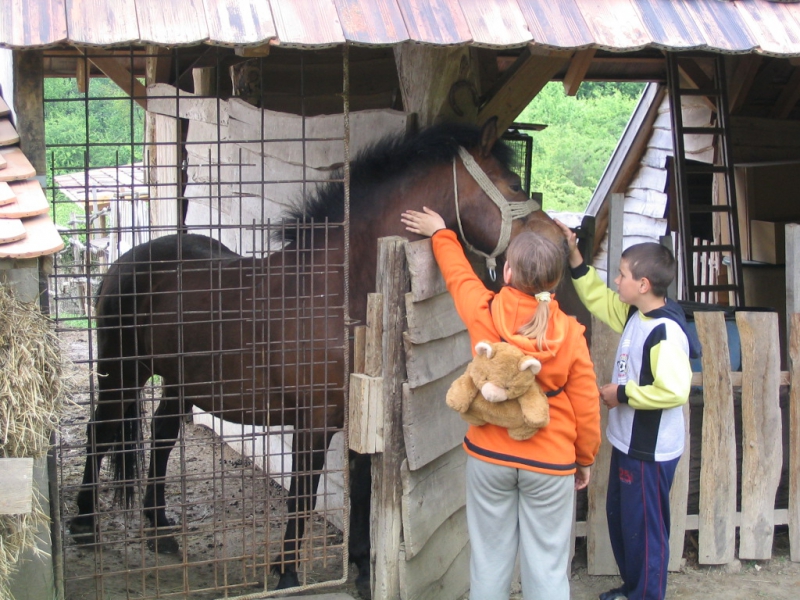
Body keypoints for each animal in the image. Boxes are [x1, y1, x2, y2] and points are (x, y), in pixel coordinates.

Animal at [69, 117, 540, 596]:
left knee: (162, 434)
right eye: (515, 184)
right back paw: (84, 525)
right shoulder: (311, 424)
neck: (332, 292)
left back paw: (159, 528)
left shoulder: (359, 418)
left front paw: (361, 570)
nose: (554, 238)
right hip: (122, 372)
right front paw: (288, 573)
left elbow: (362, 489)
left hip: (184, 380)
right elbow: (302, 494)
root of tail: (123, 262)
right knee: (99, 431)